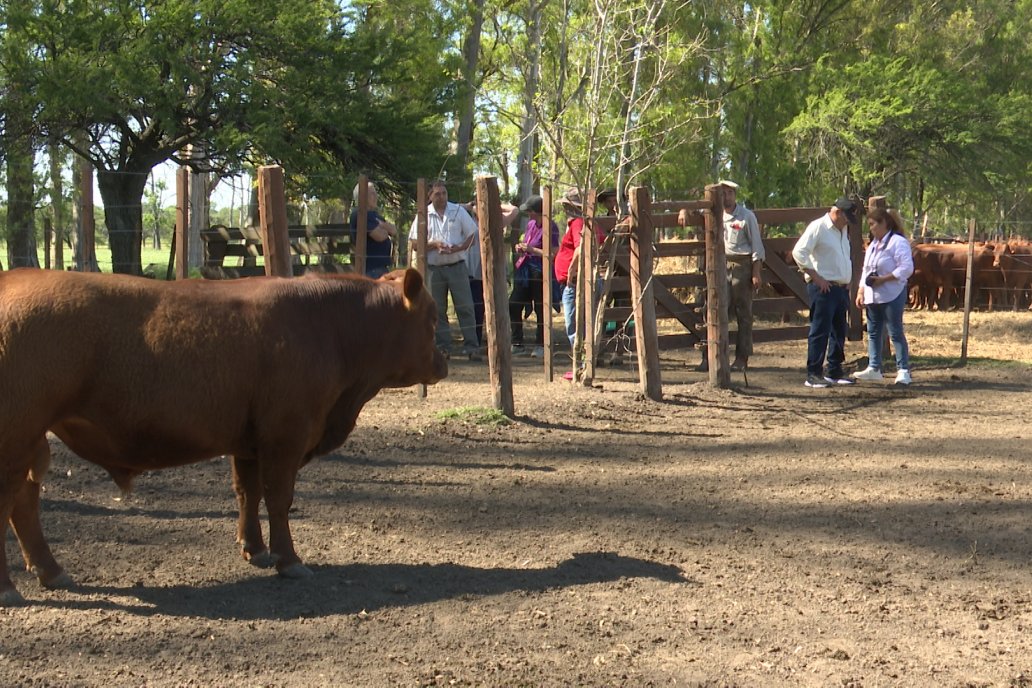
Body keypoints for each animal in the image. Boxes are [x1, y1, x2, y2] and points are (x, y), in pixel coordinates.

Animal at [2, 266, 449, 606]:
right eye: (431, 319)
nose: (443, 362)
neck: (329, 326)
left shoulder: (248, 442)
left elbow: (246, 493)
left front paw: (255, 549)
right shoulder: (286, 435)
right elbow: (278, 499)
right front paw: (289, 560)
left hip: (30, 440)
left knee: (24, 501)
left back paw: (51, 571)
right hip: (16, 435)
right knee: (11, 501)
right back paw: (11, 588)